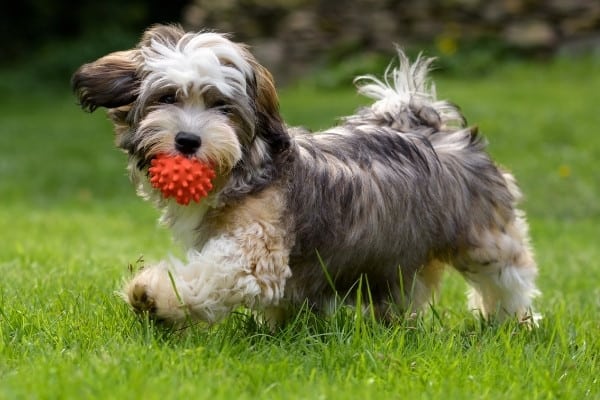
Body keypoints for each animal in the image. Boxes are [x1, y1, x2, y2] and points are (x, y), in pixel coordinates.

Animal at [70, 23, 540, 326]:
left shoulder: (254, 252)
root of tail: (431, 128)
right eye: (167, 97)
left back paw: (514, 322)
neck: (243, 173)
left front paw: (154, 295)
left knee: (508, 275)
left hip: (482, 235)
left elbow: (213, 274)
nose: (187, 141)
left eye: (222, 106)